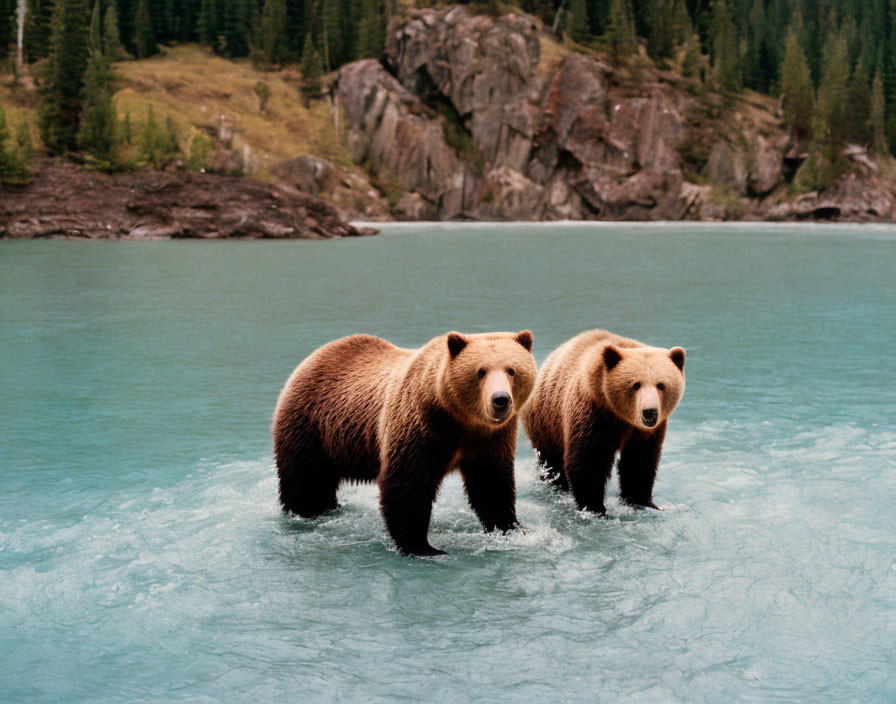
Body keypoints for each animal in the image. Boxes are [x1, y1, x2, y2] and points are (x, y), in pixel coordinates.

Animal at [272, 330, 536, 556]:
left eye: (512, 370)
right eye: (480, 371)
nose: (500, 399)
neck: (461, 419)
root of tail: (315, 355)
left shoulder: (490, 440)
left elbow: (491, 484)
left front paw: (512, 529)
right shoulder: (420, 425)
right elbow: (407, 485)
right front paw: (423, 547)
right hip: (311, 425)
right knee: (306, 478)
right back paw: (306, 512)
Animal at [520, 328, 684, 516]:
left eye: (661, 385)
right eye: (636, 384)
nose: (649, 412)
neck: (621, 415)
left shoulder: (645, 432)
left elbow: (639, 460)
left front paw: (642, 501)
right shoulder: (594, 413)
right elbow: (589, 460)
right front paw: (594, 507)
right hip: (547, 420)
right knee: (552, 461)